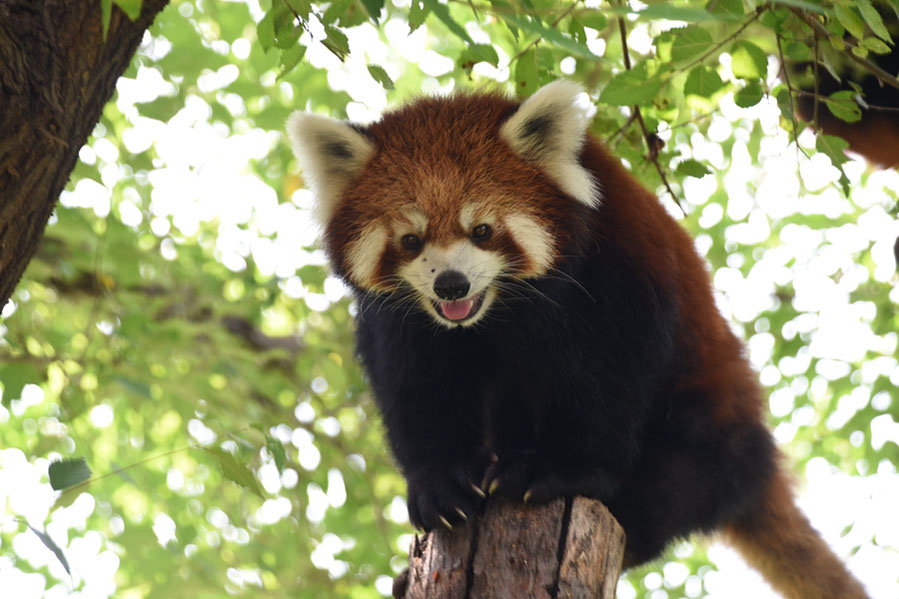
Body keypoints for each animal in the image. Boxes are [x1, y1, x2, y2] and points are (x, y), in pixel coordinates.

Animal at [288, 81, 872, 599]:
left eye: (482, 231)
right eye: (411, 240)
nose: (450, 284)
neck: (495, 312)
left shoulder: (615, 275)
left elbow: (604, 378)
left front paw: (558, 472)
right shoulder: (408, 321)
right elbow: (418, 388)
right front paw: (442, 483)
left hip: (705, 420)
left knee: (669, 486)